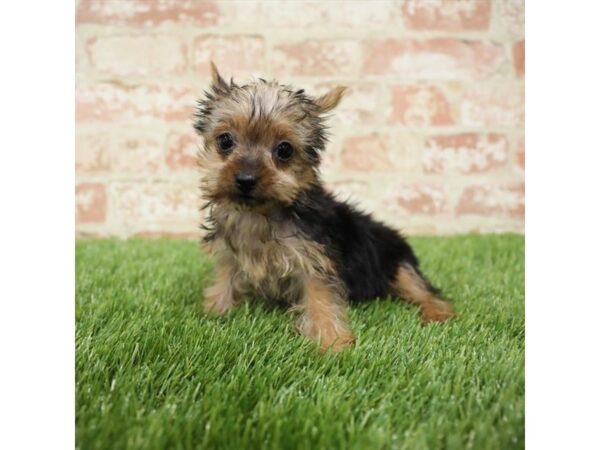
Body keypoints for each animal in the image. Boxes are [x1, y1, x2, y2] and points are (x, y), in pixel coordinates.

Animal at [195, 62, 452, 352]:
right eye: (225, 141)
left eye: (284, 150)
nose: (246, 179)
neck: (260, 214)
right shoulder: (230, 254)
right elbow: (225, 279)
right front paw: (216, 309)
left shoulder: (314, 259)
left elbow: (320, 298)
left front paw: (332, 343)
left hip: (397, 261)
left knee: (424, 291)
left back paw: (436, 313)